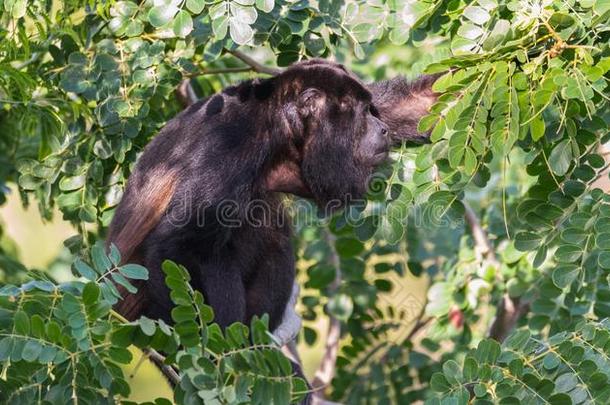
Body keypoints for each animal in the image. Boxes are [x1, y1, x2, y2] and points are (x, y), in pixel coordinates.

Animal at [105, 59, 436, 332]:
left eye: (372, 109)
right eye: (362, 113)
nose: (382, 129)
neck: (276, 123)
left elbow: (416, 104)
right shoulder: (229, 144)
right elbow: (175, 242)